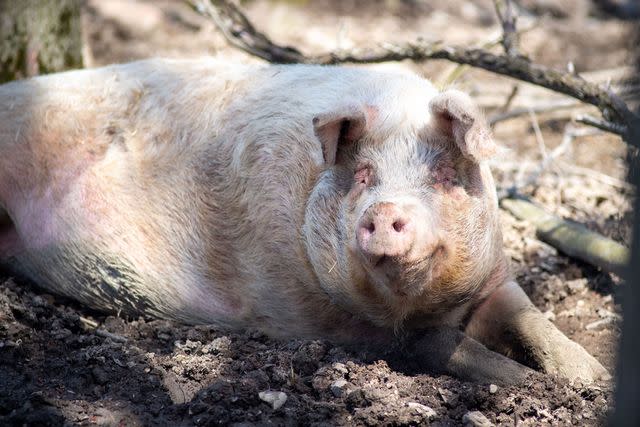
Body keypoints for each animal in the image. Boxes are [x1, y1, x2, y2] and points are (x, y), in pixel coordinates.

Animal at [0, 57, 608, 384]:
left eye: (440, 174)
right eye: (362, 175)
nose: (384, 211)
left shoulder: (495, 274)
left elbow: (532, 320)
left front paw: (592, 381)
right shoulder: (353, 327)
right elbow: (446, 347)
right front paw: (532, 387)